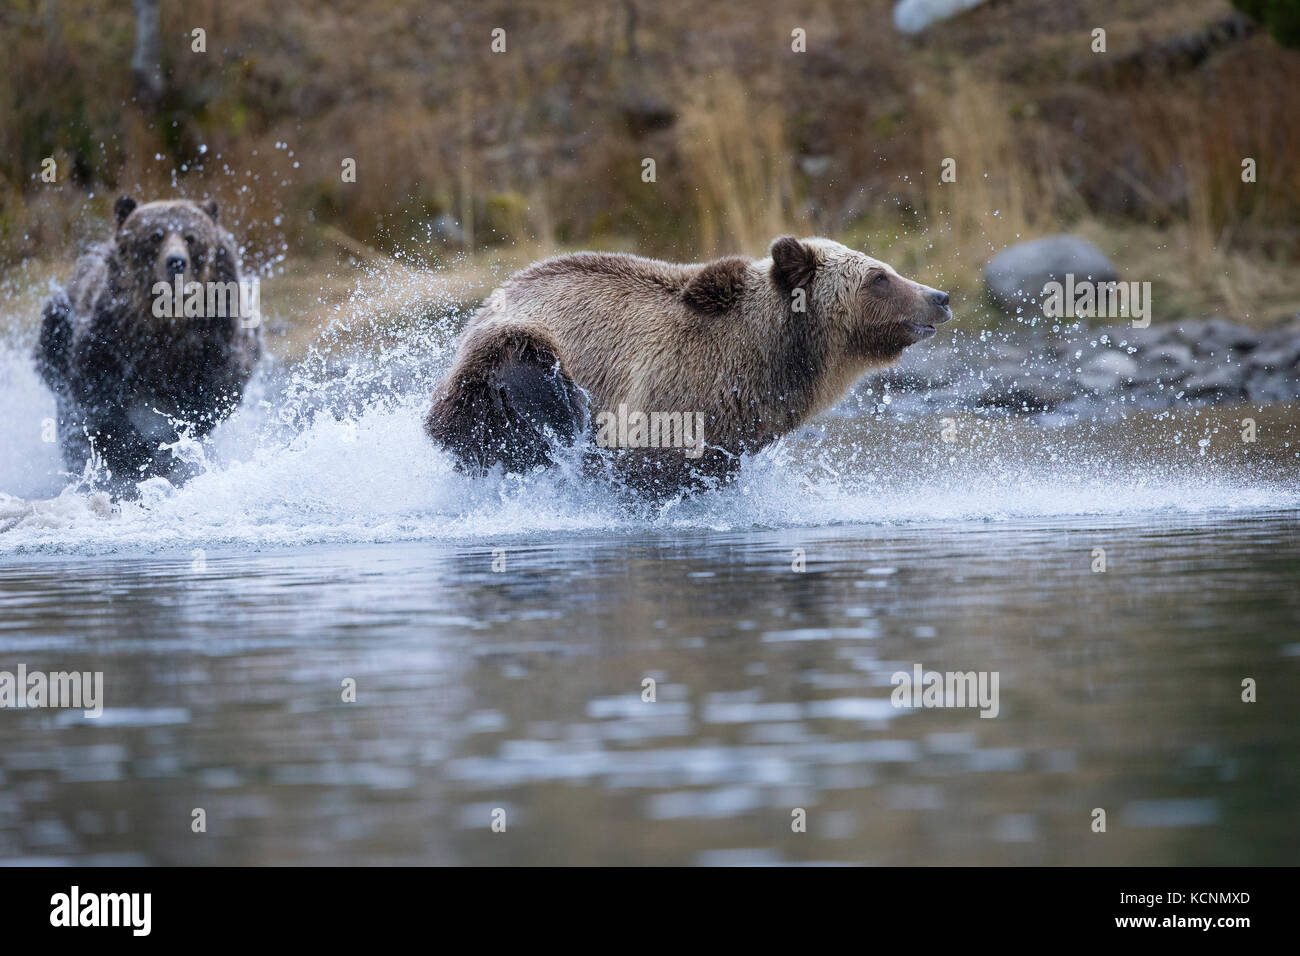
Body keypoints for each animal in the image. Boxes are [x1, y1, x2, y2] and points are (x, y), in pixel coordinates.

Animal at [32, 197, 260, 489]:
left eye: (191, 237)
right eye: (155, 236)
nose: (176, 262)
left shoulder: (213, 341)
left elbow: (211, 396)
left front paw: (168, 448)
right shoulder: (109, 340)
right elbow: (98, 400)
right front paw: (133, 454)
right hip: (57, 329)